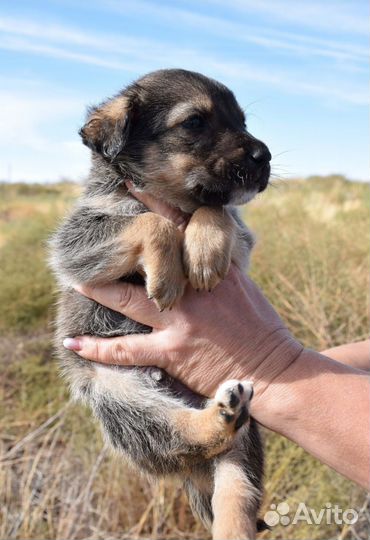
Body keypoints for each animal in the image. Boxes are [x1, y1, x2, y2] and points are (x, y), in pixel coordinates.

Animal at [49, 70, 272, 540]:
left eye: (242, 121)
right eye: (194, 122)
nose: (264, 156)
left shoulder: (241, 243)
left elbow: (215, 210)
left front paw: (203, 250)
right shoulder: (74, 245)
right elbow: (151, 221)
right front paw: (168, 273)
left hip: (243, 444)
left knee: (236, 492)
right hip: (122, 401)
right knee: (184, 435)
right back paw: (221, 416)